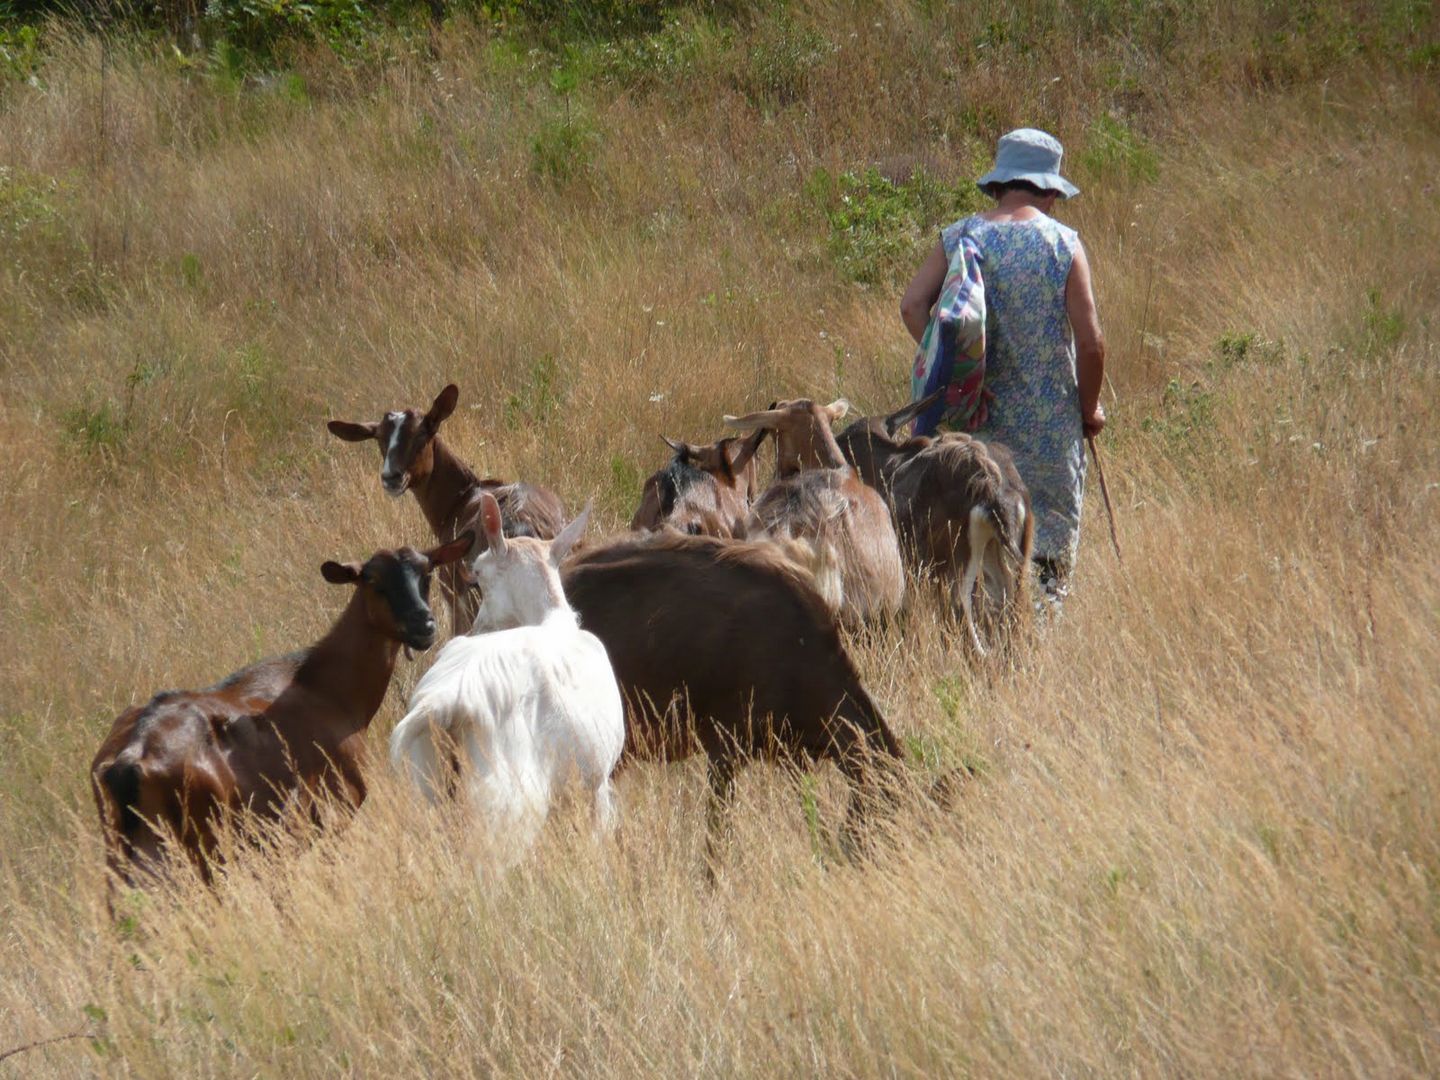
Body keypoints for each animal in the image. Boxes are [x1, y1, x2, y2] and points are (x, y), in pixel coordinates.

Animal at [91, 538, 472, 892]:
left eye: (427, 572)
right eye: (373, 580)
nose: (423, 626)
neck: (324, 689)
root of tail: (130, 761)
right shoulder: (336, 810)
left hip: (124, 853)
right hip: (203, 848)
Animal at [391, 495, 622, 869]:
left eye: (479, 574)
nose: (478, 628)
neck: (551, 619)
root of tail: (446, 703)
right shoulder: (597, 783)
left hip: (428, 793)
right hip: (505, 813)